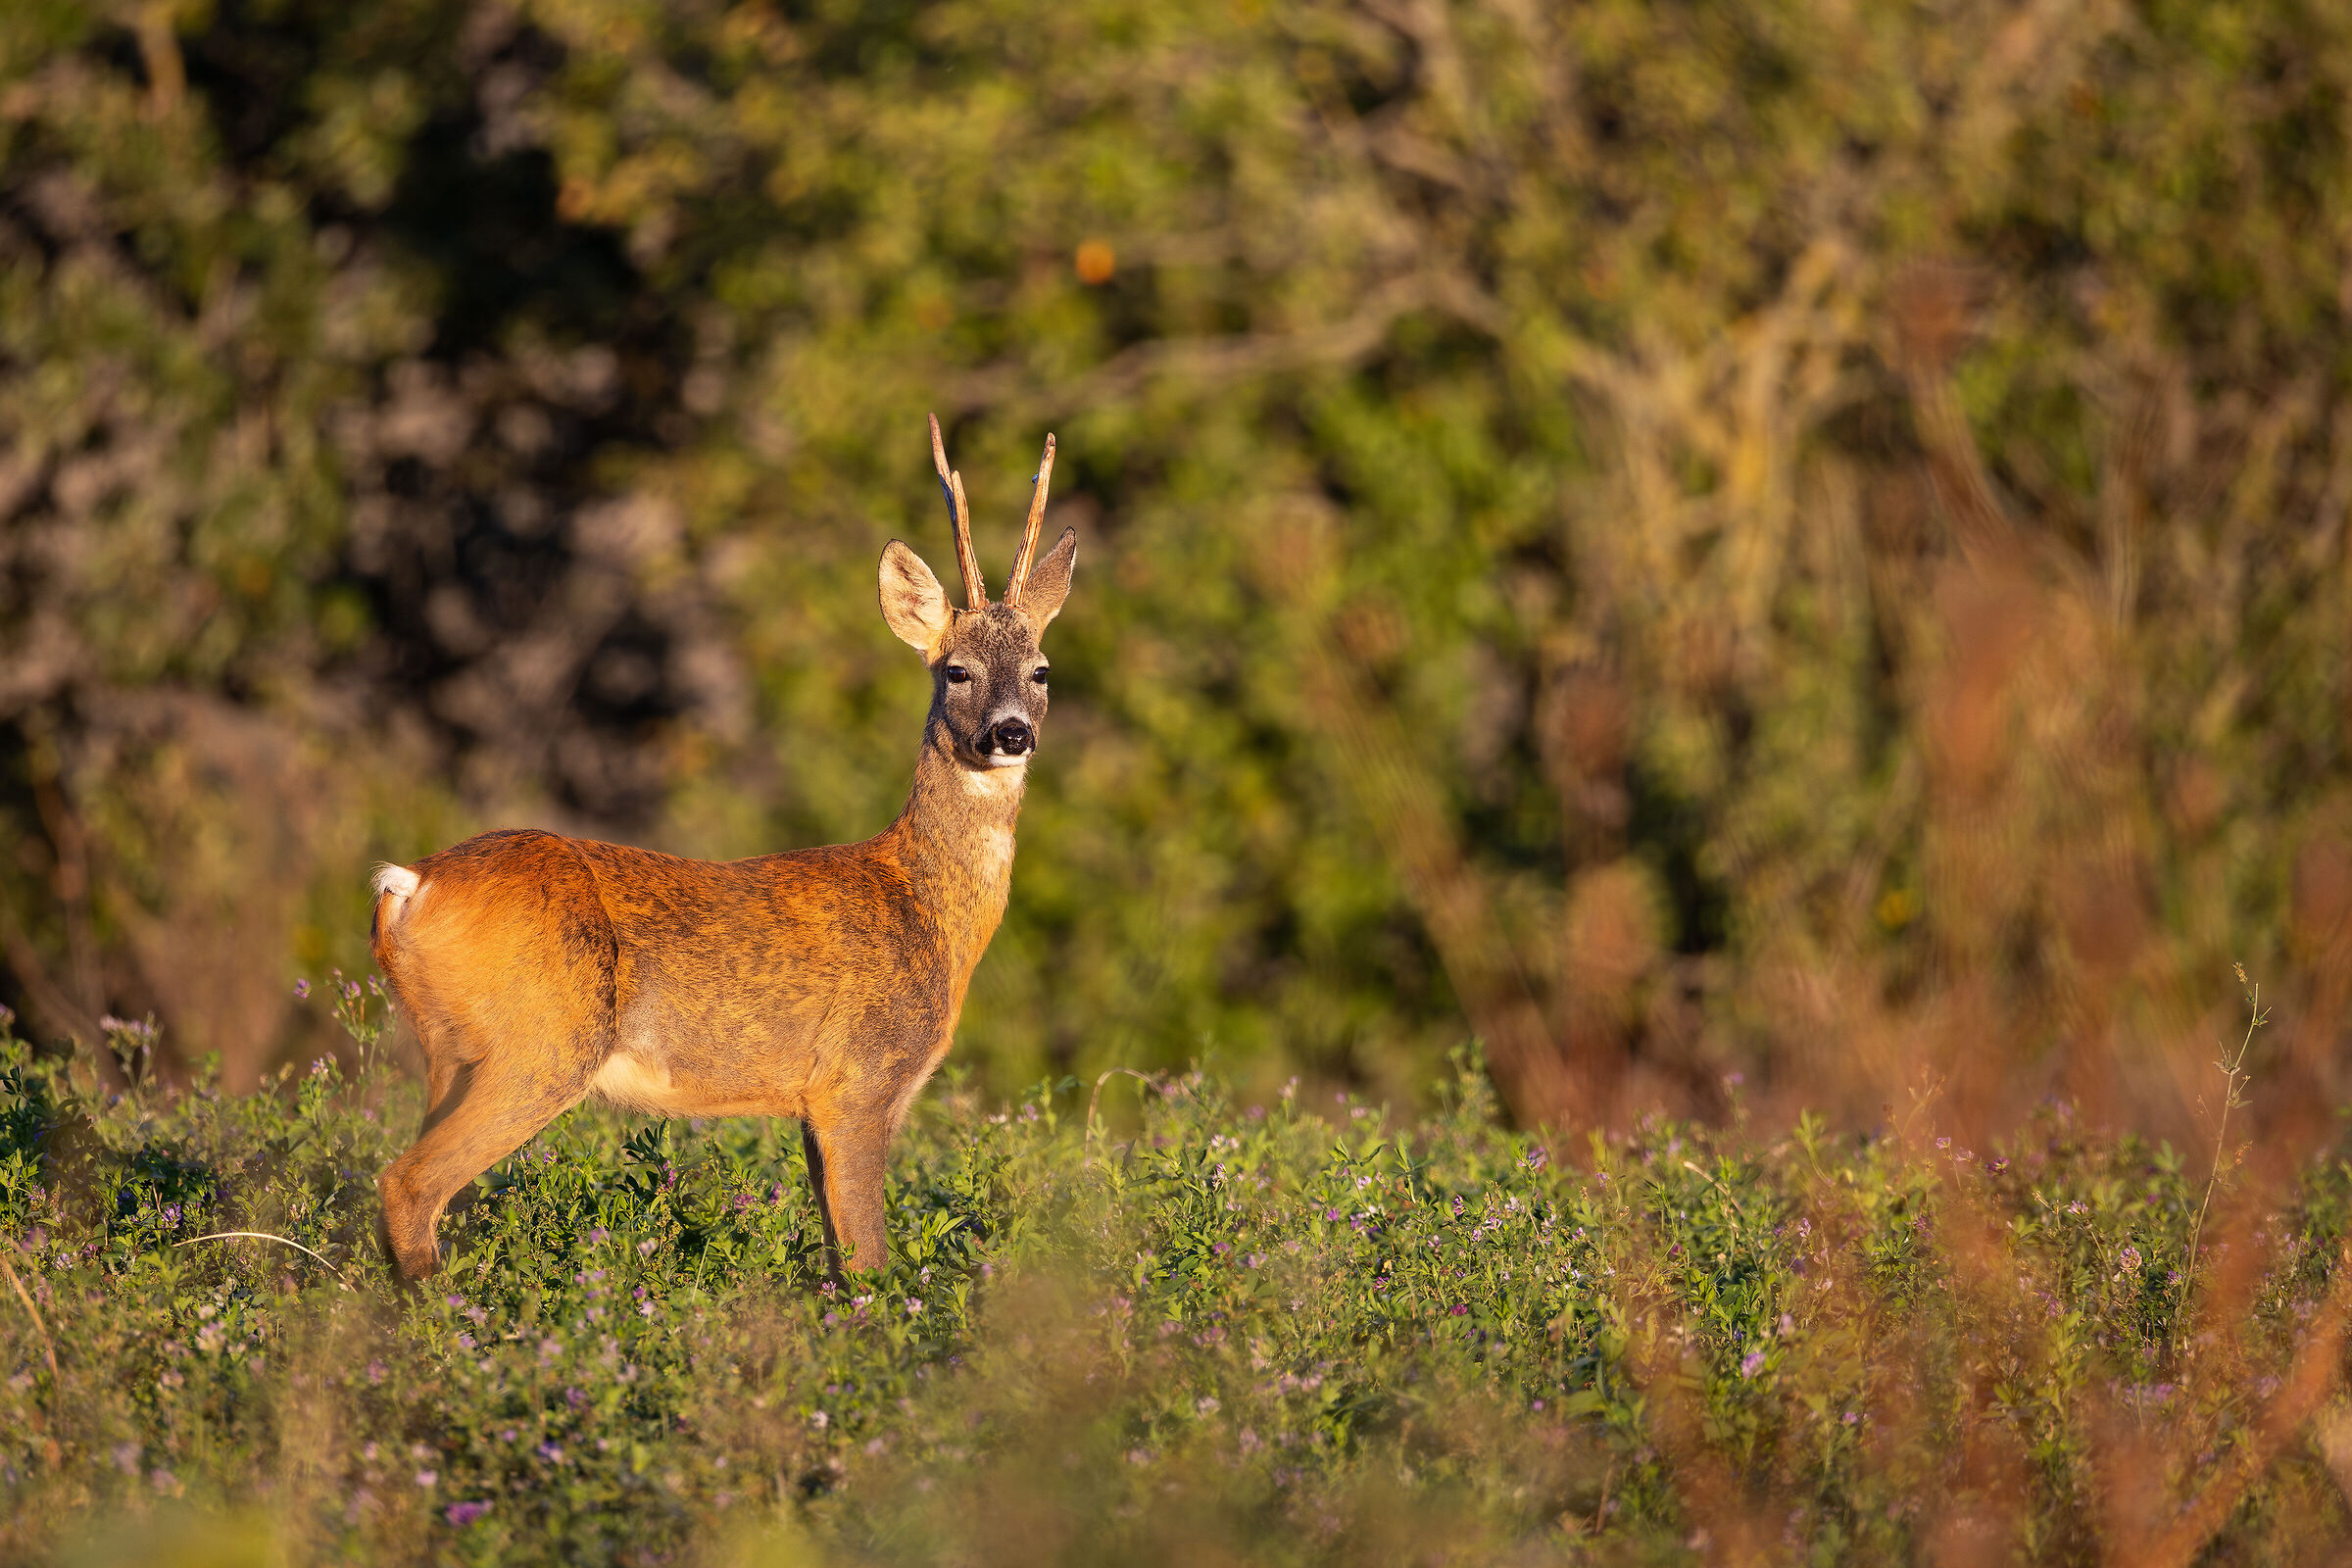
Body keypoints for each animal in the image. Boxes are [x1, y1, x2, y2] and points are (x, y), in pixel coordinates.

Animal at [367, 416, 1076, 1282]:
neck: (925, 905)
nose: (1011, 733)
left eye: (1042, 670)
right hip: (540, 1042)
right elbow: (869, 1262)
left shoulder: (815, 1103)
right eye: (957, 671)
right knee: (407, 1183)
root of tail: (409, 884)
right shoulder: (858, 1080)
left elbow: (837, 1259)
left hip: (448, 1051)